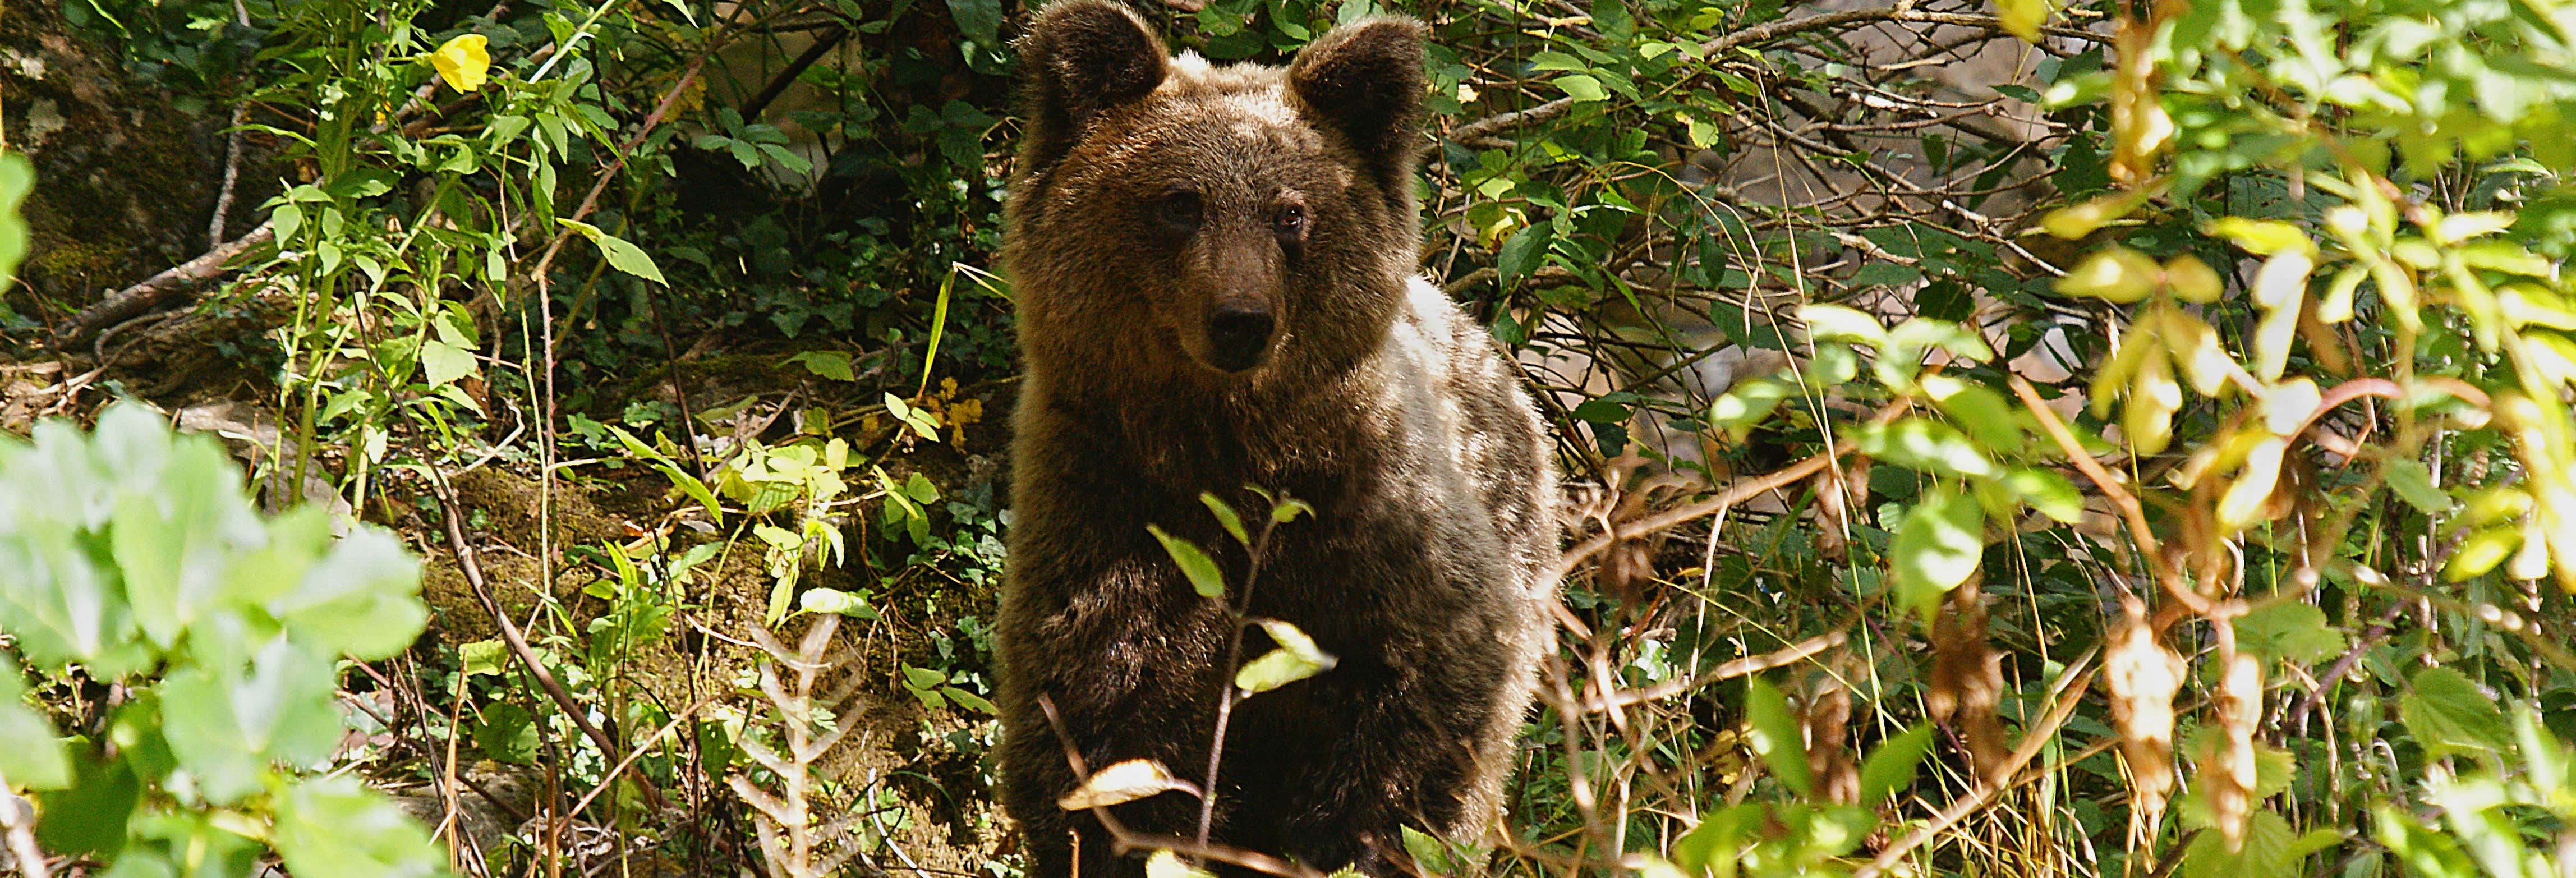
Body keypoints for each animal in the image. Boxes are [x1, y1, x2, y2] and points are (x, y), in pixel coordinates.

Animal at [989, 3, 1545, 870]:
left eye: (1291, 211)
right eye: (1180, 202)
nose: (1241, 319)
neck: (1227, 437)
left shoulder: (1374, 524)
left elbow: (1429, 698)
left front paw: (1351, 837)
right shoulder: (1114, 508)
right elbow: (1104, 728)